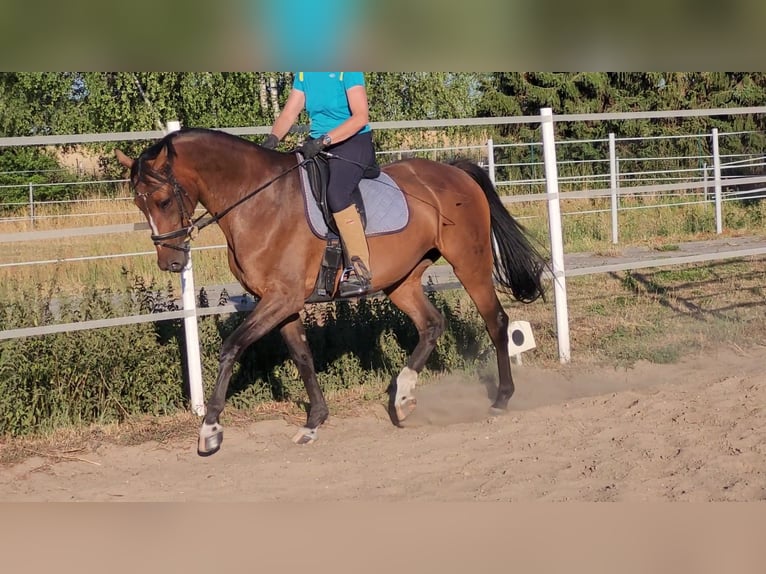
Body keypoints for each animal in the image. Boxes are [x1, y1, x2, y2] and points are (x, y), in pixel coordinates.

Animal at [115, 127, 547, 456]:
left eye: (163, 200)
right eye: (139, 203)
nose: (170, 263)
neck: (259, 201)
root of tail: (454, 172)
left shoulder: (281, 298)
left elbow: (232, 347)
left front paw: (210, 431)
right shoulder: (282, 302)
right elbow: (303, 357)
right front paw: (314, 421)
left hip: (469, 264)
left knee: (497, 321)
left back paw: (501, 398)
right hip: (401, 280)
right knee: (432, 325)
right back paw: (403, 397)